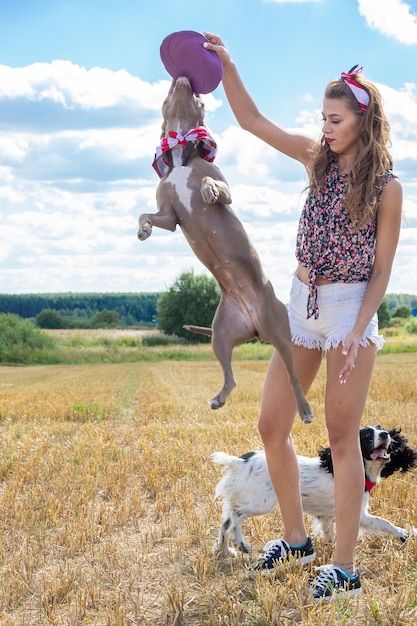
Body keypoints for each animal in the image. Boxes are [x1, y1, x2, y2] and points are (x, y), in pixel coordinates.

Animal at [138, 75, 310, 422]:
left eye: (199, 98)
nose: (183, 79)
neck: (181, 156)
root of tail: (255, 328)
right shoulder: (169, 214)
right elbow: (146, 214)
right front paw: (143, 230)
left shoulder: (222, 189)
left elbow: (214, 186)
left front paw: (206, 191)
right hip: (220, 334)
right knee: (231, 377)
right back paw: (218, 398)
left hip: (281, 335)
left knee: (293, 376)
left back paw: (305, 409)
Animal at [211, 424, 416, 556]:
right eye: (367, 435)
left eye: (381, 428)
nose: (385, 434)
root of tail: (241, 462)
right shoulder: (358, 513)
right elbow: (384, 522)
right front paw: (404, 534)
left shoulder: (328, 516)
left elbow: (330, 535)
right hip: (261, 503)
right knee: (236, 516)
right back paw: (241, 544)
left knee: (225, 524)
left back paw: (226, 551)